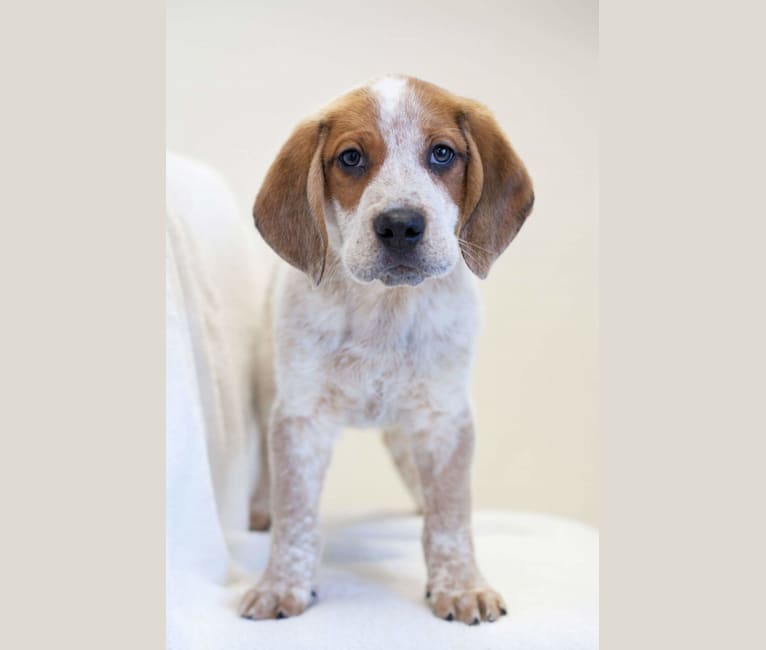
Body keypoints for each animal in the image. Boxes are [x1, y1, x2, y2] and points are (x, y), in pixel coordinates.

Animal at [240, 72, 536, 624]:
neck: (385, 309)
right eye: (351, 158)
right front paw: (281, 584)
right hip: (273, 396)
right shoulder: (301, 419)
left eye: (442, 153)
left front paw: (461, 586)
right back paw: (260, 511)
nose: (400, 225)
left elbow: (450, 515)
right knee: (270, 477)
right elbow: (296, 514)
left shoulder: (444, 418)